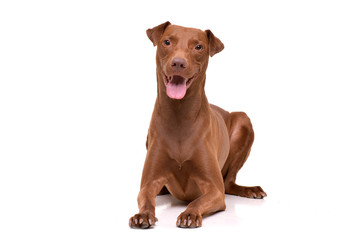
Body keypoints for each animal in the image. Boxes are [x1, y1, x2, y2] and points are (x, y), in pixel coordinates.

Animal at [129, 22, 264, 229]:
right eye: (167, 42)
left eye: (199, 47)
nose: (178, 63)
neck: (179, 114)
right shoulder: (149, 182)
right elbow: (145, 197)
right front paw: (143, 214)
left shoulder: (214, 189)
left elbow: (199, 200)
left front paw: (190, 214)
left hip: (243, 120)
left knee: (229, 183)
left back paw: (250, 189)